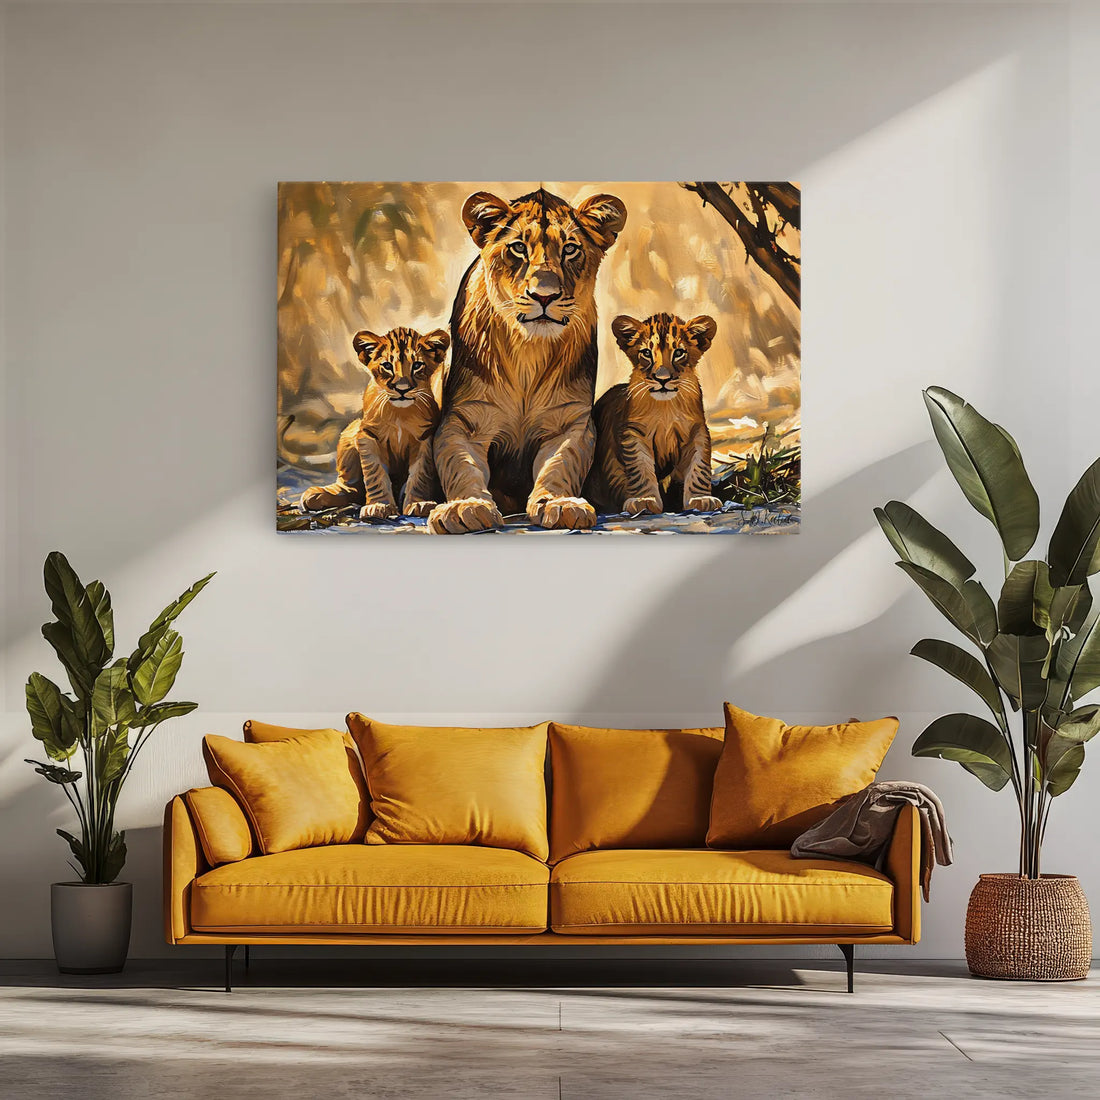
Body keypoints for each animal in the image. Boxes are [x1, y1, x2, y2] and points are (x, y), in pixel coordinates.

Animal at [428, 187, 627, 534]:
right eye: (519, 247)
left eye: (570, 249)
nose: (544, 295)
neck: (528, 350)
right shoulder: (463, 422)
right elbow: (461, 466)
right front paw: (466, 507)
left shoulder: (570, 422)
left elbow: (559, 466)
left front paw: (561, 503)